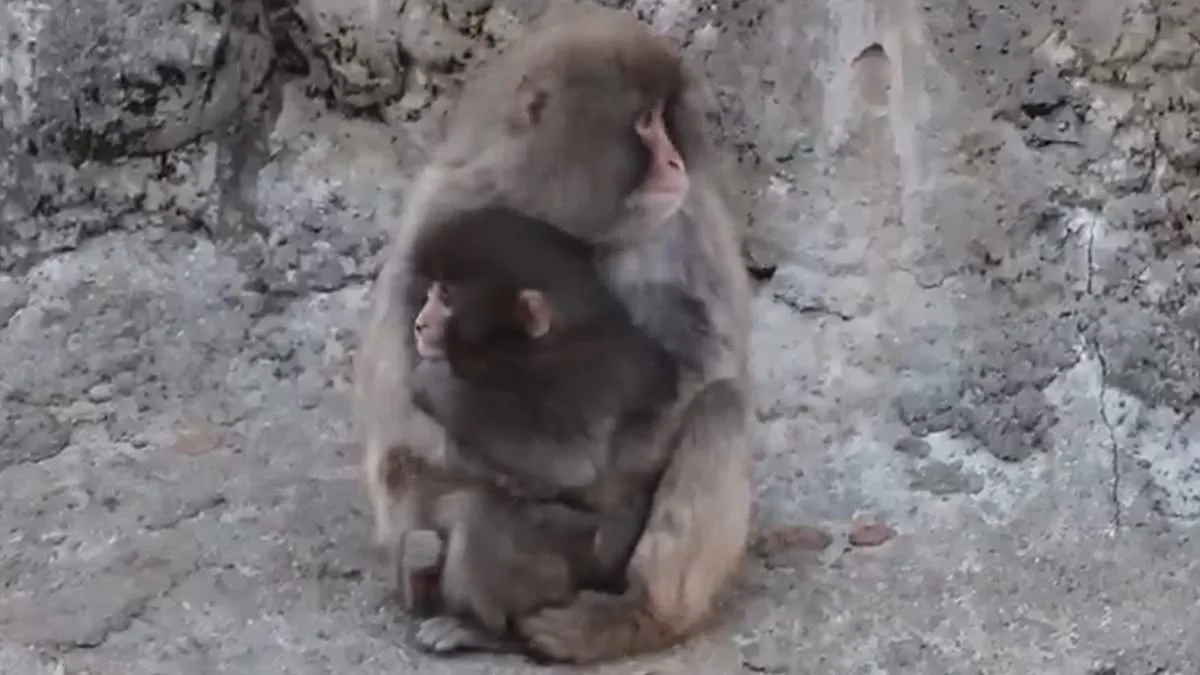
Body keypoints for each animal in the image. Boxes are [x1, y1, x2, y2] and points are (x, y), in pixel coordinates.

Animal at [352, 6, 753, 663]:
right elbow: (395, 397)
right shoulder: (443, 203)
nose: (676, 163)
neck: (561, 214)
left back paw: (635, 615)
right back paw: (424, 577)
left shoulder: (680, 225)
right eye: (645, 123)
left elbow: (702, 366)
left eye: (663, 120)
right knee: (406, 461)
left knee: (720, 407)